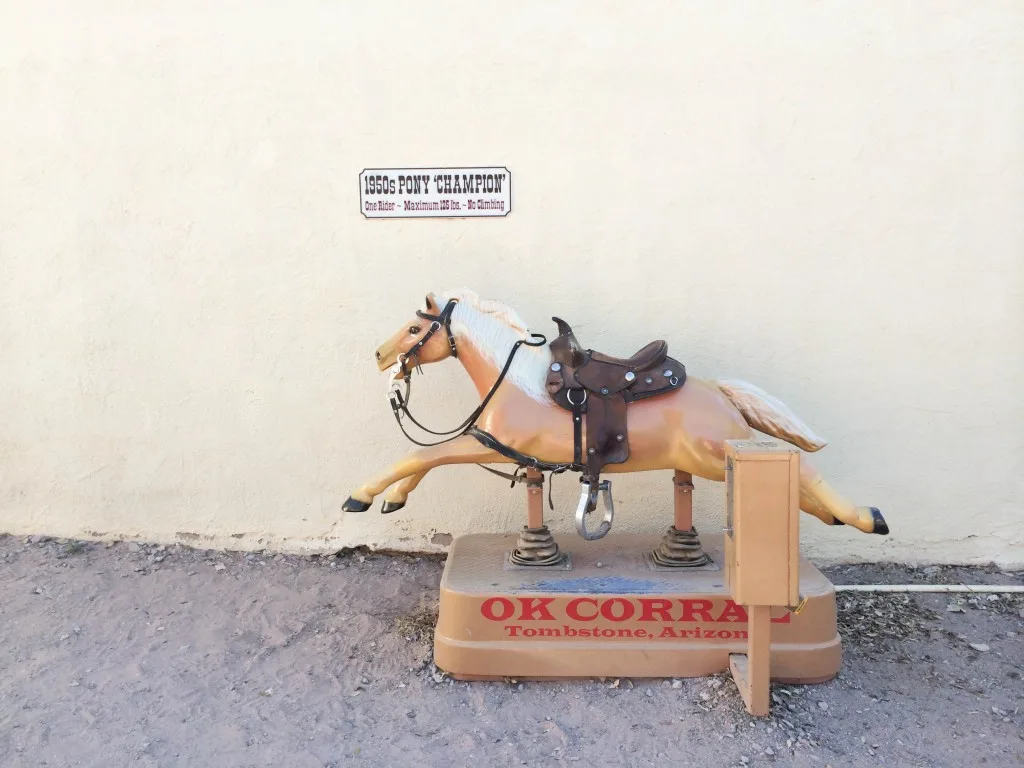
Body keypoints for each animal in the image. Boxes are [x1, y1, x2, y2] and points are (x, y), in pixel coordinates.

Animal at [342, 290, 888, 540]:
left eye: (416, 328)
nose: (379, 355)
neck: (515, 380)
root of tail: (720, 394)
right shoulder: (495, 447)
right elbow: (424, 459)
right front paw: (392, 500)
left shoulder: (490, 445)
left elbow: (419, 456)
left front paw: (362, 496)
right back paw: (840, 516)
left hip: (719, 453)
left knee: (805, 471)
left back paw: (867, 517)